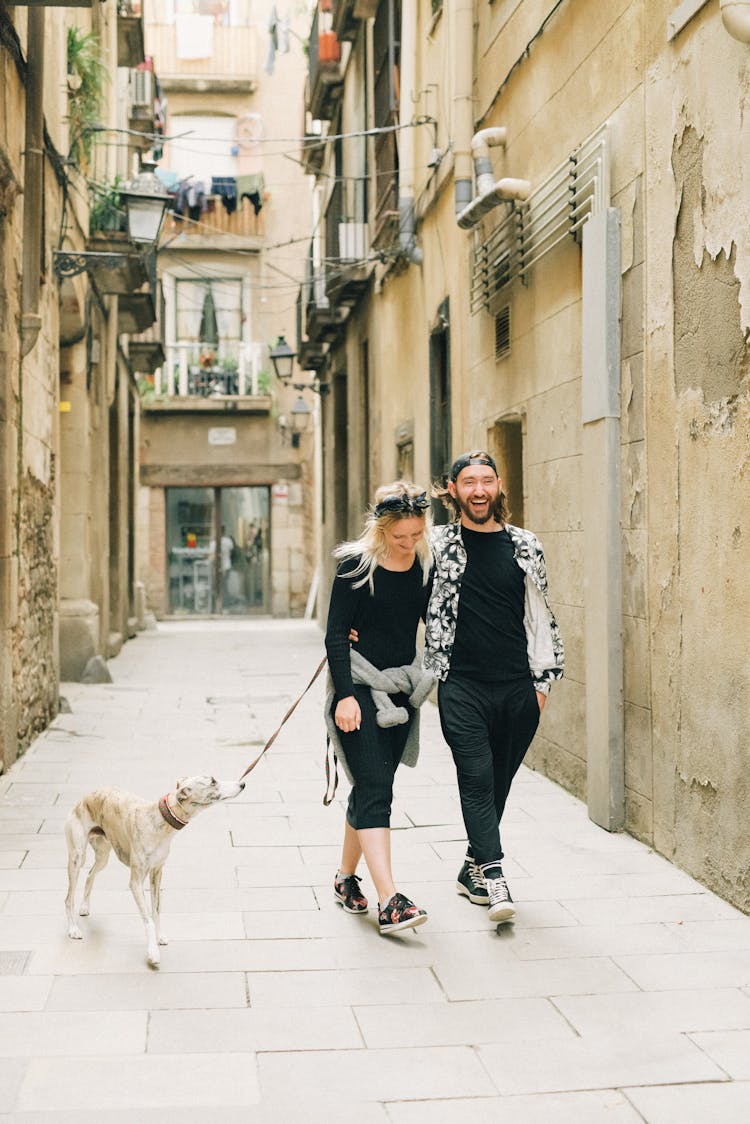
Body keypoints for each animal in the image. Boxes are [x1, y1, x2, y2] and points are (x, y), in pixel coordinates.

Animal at [64, 777, 245, 971]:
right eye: (212, 782)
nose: (242, 784)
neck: (158, 821)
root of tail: (84, 799)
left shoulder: (157, 872)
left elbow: (156, 911)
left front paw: (159, 937)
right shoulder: (136, 881)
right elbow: (148, 919)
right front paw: (153, 954)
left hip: (103, 854)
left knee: (90, 874)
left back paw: (84, 906)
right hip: (77, 857)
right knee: (68, 898)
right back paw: (73, 929)